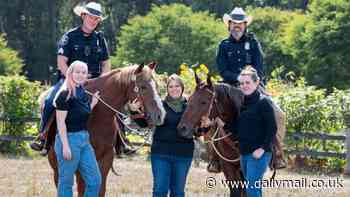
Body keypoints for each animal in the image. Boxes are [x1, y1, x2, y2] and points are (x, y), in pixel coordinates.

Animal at [45, 63, 165, 197]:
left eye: (157, 85)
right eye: (143, 87)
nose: (159, 115)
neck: (98, 115)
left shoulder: (106, 158)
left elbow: (100, 188)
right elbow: (82, 189)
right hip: (57, 168)